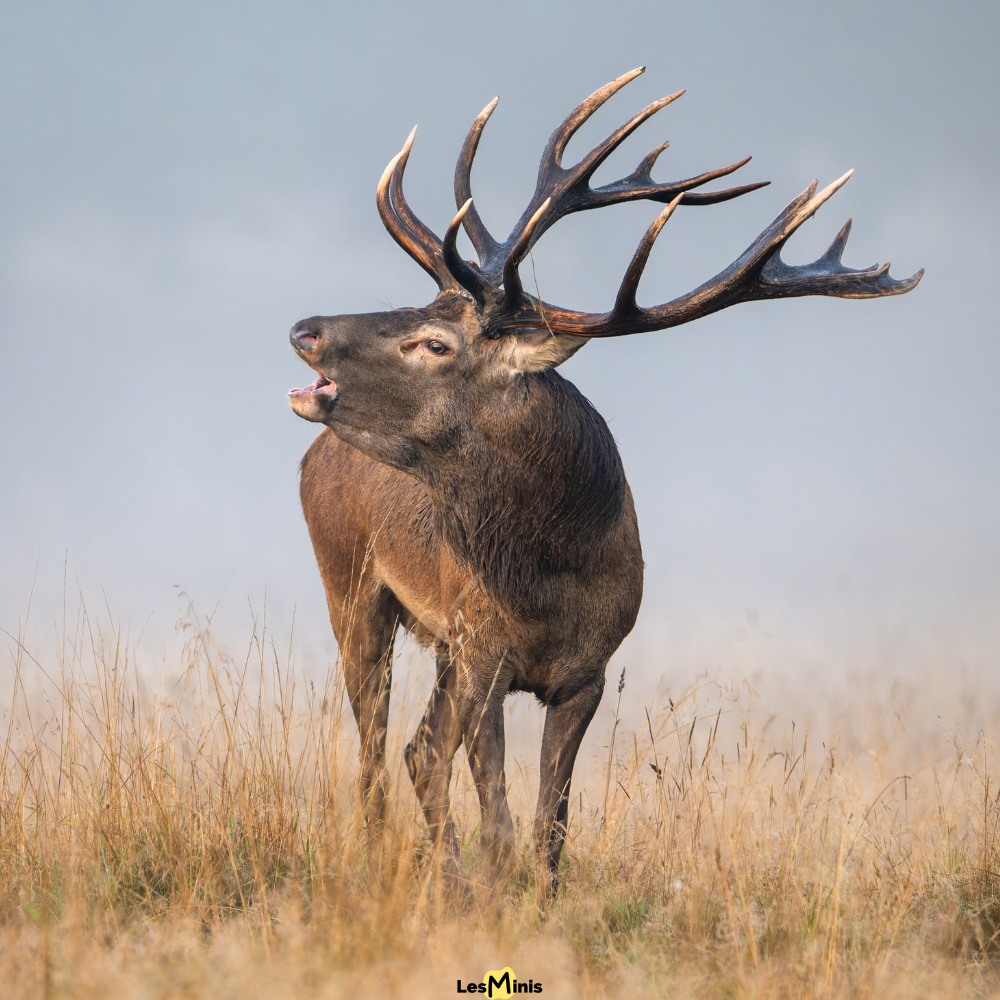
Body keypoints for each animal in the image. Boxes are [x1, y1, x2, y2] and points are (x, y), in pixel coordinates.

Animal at [287, 68, 921, 893]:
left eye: (434, 340)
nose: (304, 330)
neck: (549, 574)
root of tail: (313, 458)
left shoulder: (587, 666)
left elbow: (550, 826)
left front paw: (533, 897)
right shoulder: (483, 648)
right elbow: (500, 820)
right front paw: (496, 895)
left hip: (429, 634)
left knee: (416, 750)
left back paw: (444, 877)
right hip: (352, 582)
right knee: (374, 746)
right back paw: (390, 868)